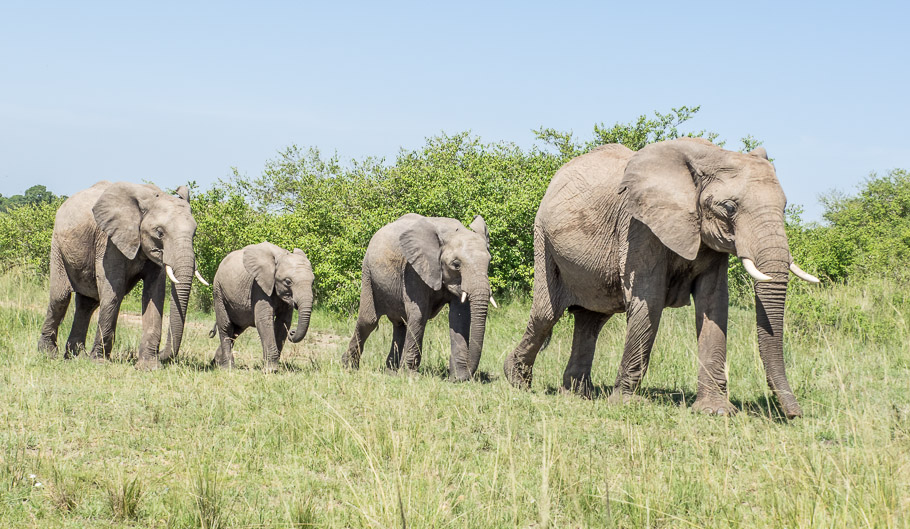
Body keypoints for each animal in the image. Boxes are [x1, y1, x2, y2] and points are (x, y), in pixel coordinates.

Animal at [37, 180, 208, 368]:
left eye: (194, 233)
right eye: (159, 232)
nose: (161, 353)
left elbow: (154, 295)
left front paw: (149, 366)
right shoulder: (108, 242)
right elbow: (114, 291)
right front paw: (99, 362)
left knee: (87, 304)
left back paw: (76, 356)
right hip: (58, 247)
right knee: (60, 298)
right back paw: (48, 354)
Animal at [210, 242, 315, 373]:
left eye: (313, 282)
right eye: (288, 282)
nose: (292, 332)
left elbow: (283, 322)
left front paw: (270, 367)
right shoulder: (258, 286)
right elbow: (264, 320)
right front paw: (270, 370)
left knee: (237, 330)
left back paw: (216, 362)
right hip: (218, 291)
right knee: (226, 326)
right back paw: (228, 367)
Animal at [342, 213, 495, 381]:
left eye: (489, 262)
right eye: (456, 265)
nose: (469, 373)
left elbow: (459, 317)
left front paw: (459, 378)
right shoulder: (413, 270)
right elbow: (418, 315)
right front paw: (411, 376)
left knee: (400, 324)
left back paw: (391, 371)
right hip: (368, 273)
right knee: (368, 321)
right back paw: (348, 367)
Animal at [503, 138, 819, 419]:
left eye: (785, 206)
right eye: (729, 208)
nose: (795, 414)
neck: (709, 156)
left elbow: (713, 305)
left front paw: (716, 411)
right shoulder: (638, 227)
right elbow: (650, 302)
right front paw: (626, 404)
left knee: (591, 320)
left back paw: (577, 393)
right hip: (543, 239)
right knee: (546, 314)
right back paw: (517, 381)